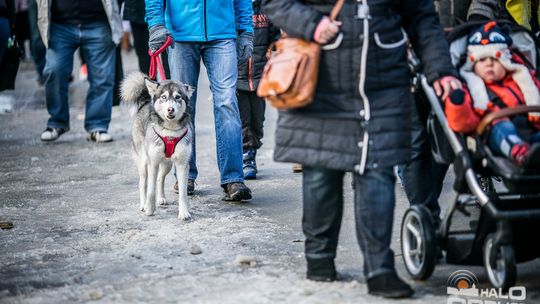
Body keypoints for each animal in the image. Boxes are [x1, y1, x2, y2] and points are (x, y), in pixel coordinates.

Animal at [120, 73, 194, 221]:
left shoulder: (182, 164)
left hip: (167, 164)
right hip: (143, 162)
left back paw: (161, 198)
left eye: (178, 97)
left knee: (160, 178)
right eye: (163, 97)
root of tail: (145, 102)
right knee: (143, 183)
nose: (170, 109)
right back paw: (143, 205)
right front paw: (150, 209)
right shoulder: (152, 163)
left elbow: (183, 192)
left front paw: (184, 212)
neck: (170, 131)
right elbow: (150, 190)